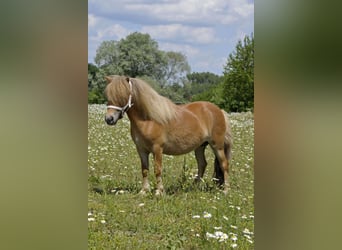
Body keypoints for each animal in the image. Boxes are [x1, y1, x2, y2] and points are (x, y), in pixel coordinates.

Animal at [104, 75, 232, 194]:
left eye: (122, 96)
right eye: (108, 96)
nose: (109, 119)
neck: (148, 120)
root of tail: (219, 110)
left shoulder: (157, 149)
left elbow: (157, 169)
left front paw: (159, 192)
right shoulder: (141, 149)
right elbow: (144, 170)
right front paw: (144, 191)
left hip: (217, 146)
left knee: (224, 164)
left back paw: (226, 190)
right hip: (200, 146)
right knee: (202, 164)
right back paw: (193, 188)